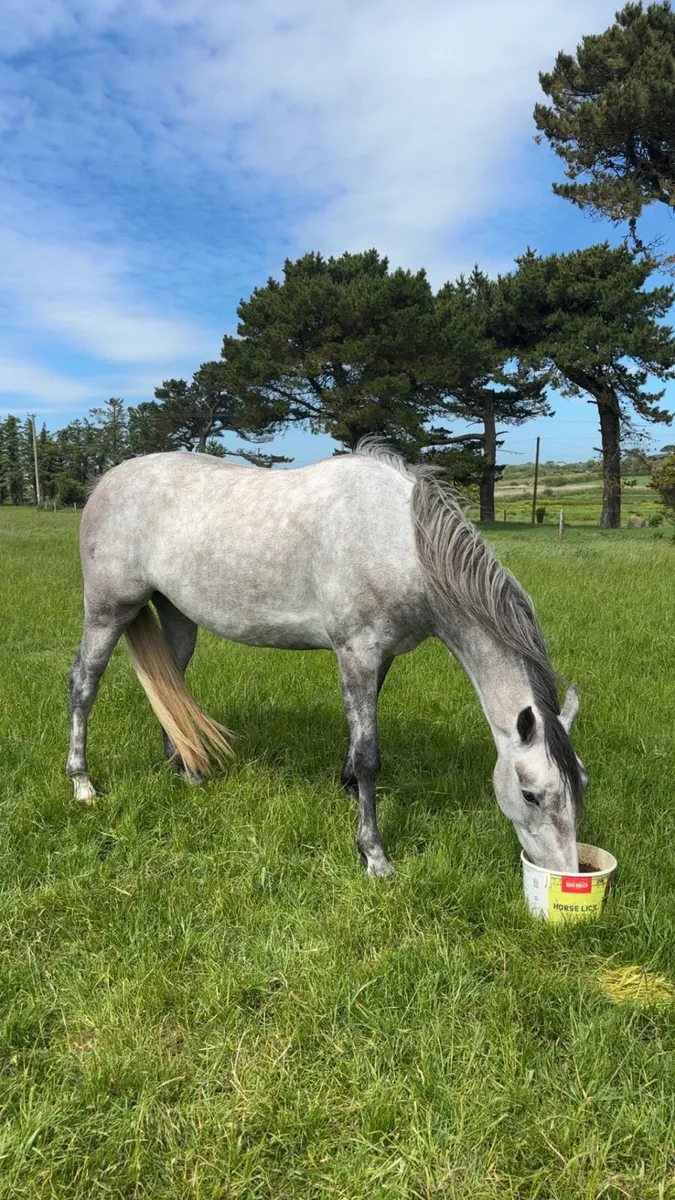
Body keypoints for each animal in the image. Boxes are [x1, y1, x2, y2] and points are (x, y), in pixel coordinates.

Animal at [67, 440, 586, 877]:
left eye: (580, 784)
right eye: (530, 795)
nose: (567, 873)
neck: (401, 543)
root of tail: (104, 482)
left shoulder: (380, 658)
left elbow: (358, 743)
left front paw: (348, 785)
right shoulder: (356, 652)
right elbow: (370, 754)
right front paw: (374, 855)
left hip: (176, 614)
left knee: (169, 686)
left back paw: (187, 769)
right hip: (109, 610)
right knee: (84, 684)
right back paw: (83, 785)